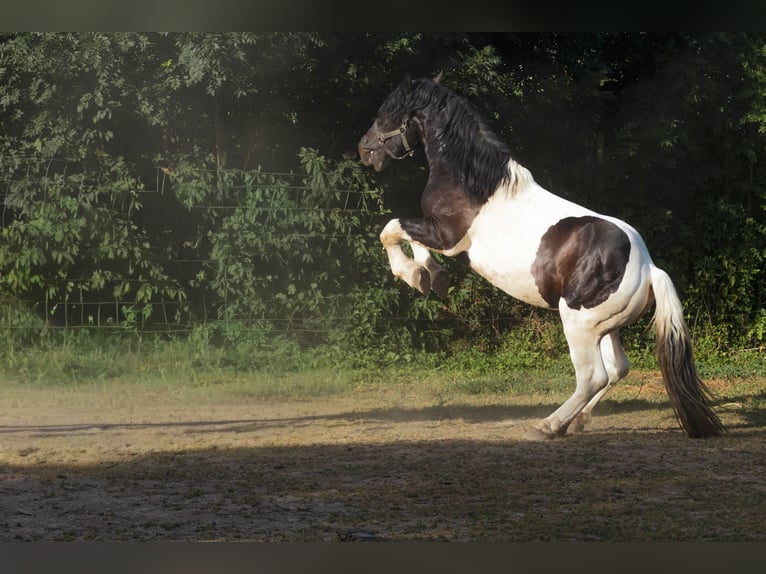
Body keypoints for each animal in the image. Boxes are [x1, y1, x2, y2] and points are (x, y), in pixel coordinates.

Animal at [357, 74, 725, 439]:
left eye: (387, 111)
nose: (364, 149)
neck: (472, 183)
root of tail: (649, 268)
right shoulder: (435, 233)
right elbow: (410, 240)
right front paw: (429, 276)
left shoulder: (444, 236)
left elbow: (391, 228)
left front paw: (412, 273)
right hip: (606, 328)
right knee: (618, 368)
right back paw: (576, 422)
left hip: (579, 323)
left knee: (594, 376)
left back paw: (549, 425)